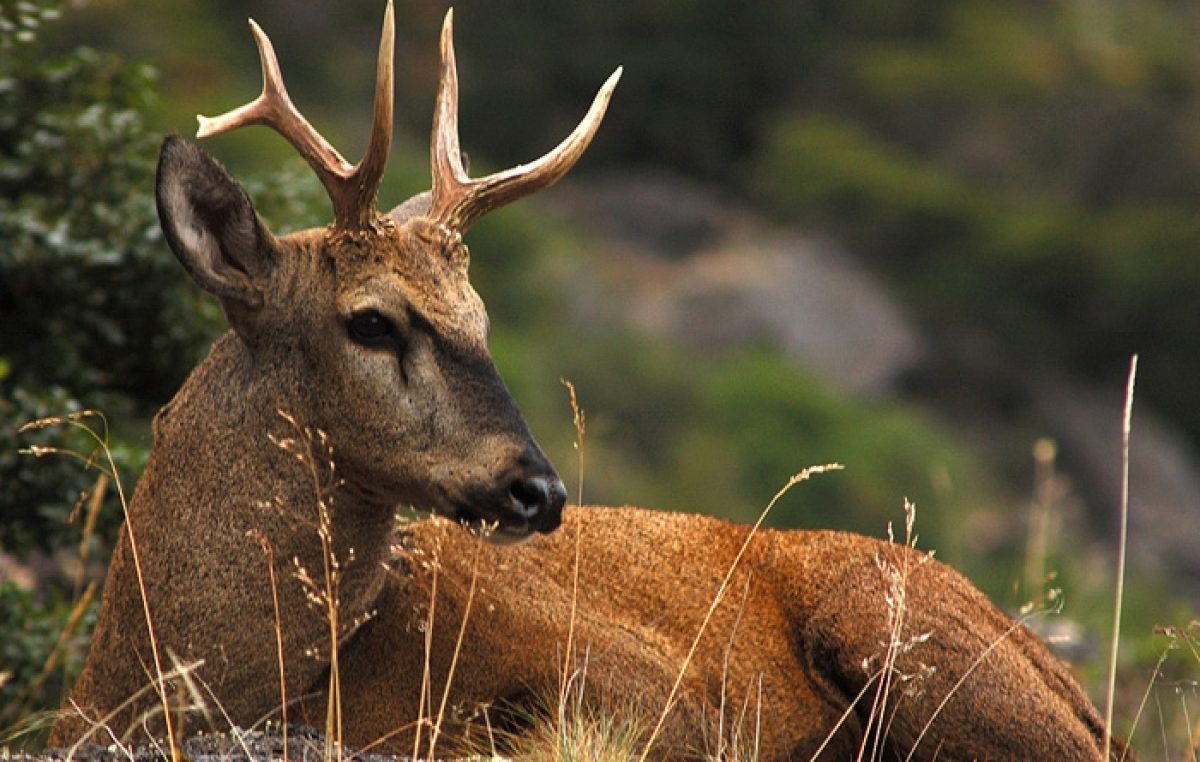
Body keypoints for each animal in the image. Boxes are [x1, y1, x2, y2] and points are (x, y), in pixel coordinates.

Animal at [46, 2, 1132, 758]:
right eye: (372, 320)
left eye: (482, 321)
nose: (539, 488)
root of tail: (1077, 688)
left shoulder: (661, 696)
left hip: (908, 632)